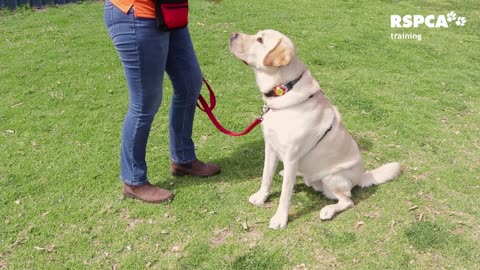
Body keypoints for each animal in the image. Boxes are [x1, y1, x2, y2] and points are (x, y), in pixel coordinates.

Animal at [229, 29, 402, 229]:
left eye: (260, 40)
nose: (232, 34)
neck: (285, 90)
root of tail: (361, 176)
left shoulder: (291, 157)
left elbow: (285, 194)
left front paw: (280, 219)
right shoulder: (270, 147)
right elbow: (266, 176)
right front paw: (261, 197)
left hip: (333, 178)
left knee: (348, 201)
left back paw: (328, 210)